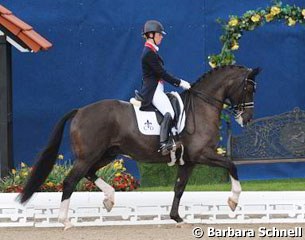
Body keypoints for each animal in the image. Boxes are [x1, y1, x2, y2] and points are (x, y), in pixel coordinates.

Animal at [17, 64, 258, 229]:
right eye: (248, 88)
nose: (246, 119)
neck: (200, 107)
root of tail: (80, 111)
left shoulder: (188, 161)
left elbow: (179, 188)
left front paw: (177, 218)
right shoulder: (202, 154)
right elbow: (231, 165)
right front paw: (233, 201)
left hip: (106, 154)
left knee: (89, 173)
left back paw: (109, 199)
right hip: (89, 156)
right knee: (70, 181)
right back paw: (65, 221)